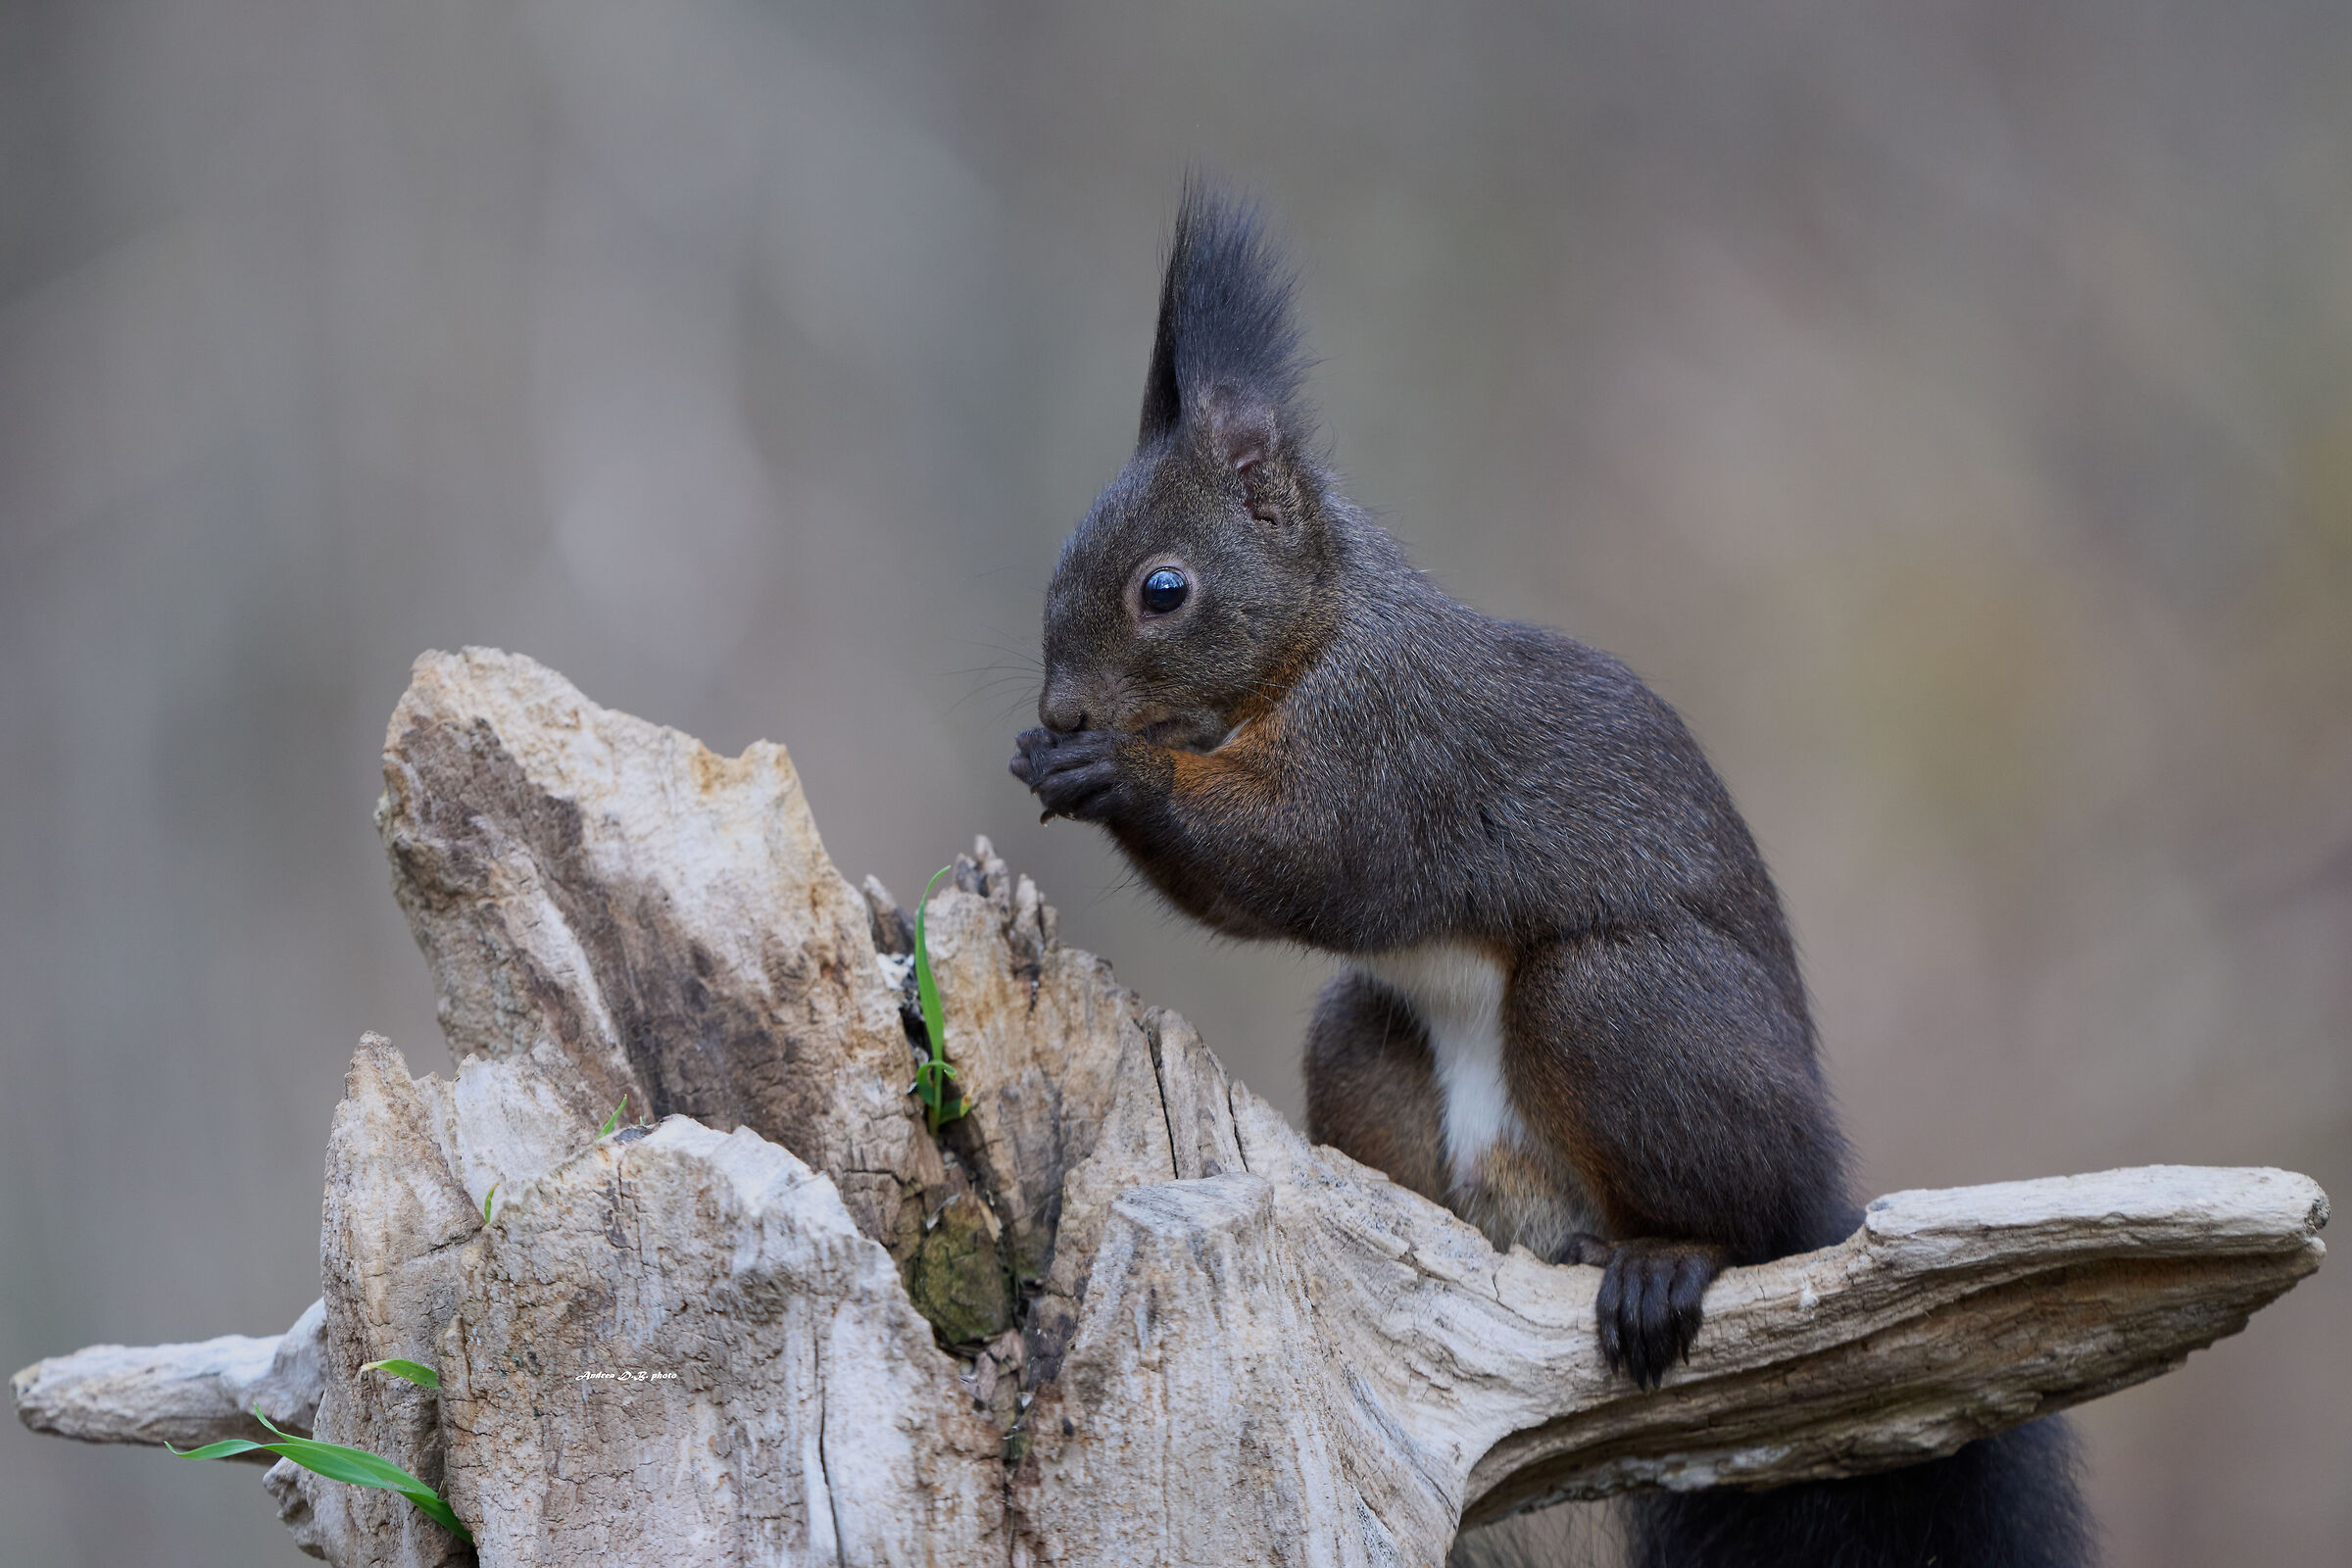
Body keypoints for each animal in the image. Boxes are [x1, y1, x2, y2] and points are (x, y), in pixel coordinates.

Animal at [1011, 182, 2093, 1567]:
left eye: (1165, 588)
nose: (1061, 707)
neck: (1322, 635)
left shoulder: (1396, 749)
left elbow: (1307, 858)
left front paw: (1115, 768)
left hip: (1621, 1010)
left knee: (1738, 1219)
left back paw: (1669, 1259)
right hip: (1372, 1047)